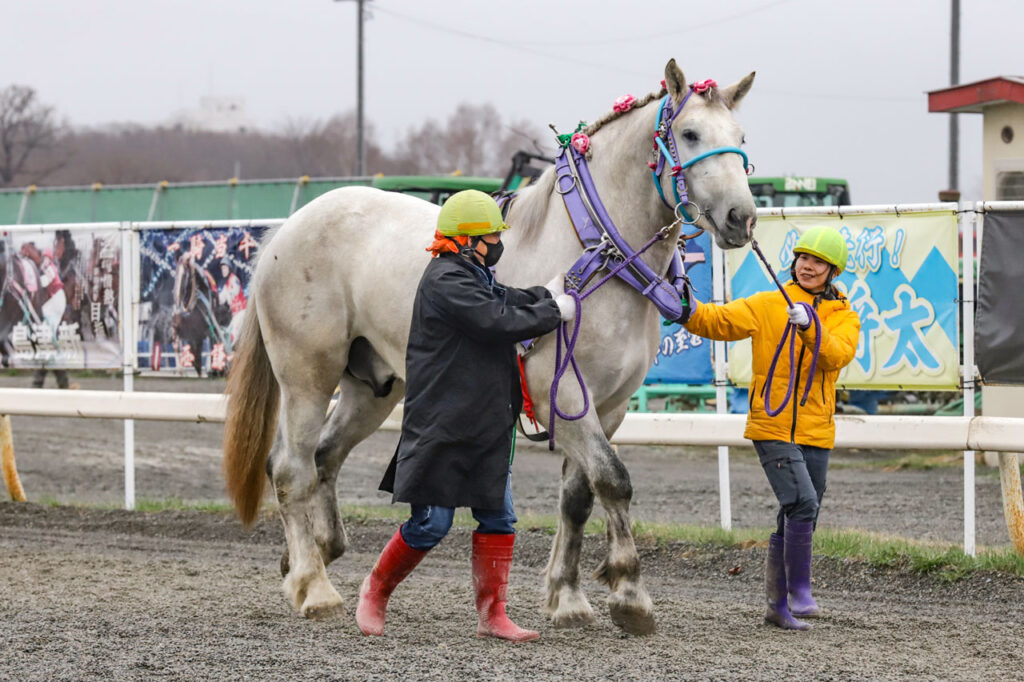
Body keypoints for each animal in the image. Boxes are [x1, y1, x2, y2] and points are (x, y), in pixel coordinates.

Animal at [223, 59, 757, 634]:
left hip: (373, 388)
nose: (742, 218)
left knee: (325, 456)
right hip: (306, 378)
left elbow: (579, 498)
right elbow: (614, 481)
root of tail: (285, 232)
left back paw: (313, 554)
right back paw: (313, 586)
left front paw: (567, 597)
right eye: (690, 133)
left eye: (741, 138)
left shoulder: (608, 405)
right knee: (291, 469)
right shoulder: (561, 395)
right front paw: (630, 595)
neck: (594, 254)